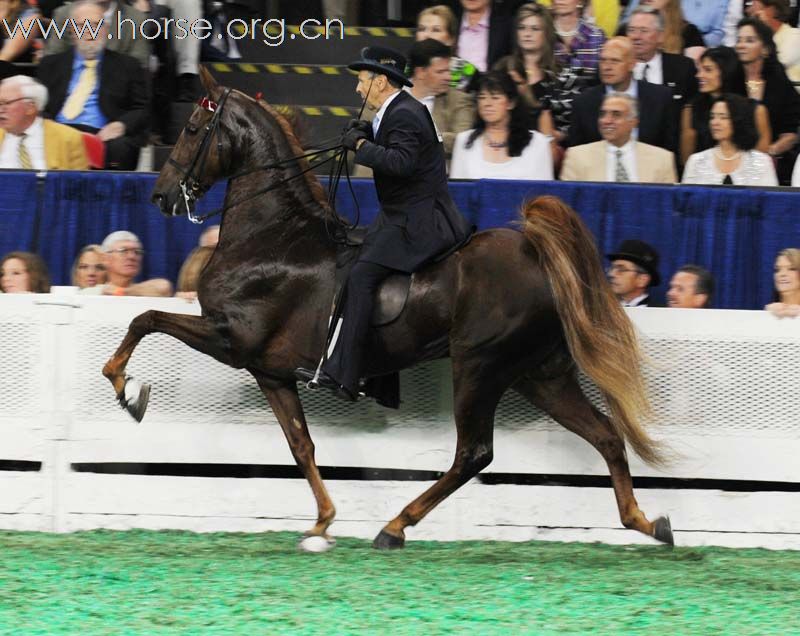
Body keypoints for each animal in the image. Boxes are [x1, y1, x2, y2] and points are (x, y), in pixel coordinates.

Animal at [103, 68, 672, 548]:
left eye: (193, 128)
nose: (161, 197)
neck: (274, 237)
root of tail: (536, 253)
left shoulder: (229, 338)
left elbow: (145, 319)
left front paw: (128, 390)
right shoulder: (271, 371)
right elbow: (300, 445)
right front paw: (322, 522)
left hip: (481, 365)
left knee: (474, 453)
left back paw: (396, 526)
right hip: (540, 373)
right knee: (605, 435)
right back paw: (647, 523)